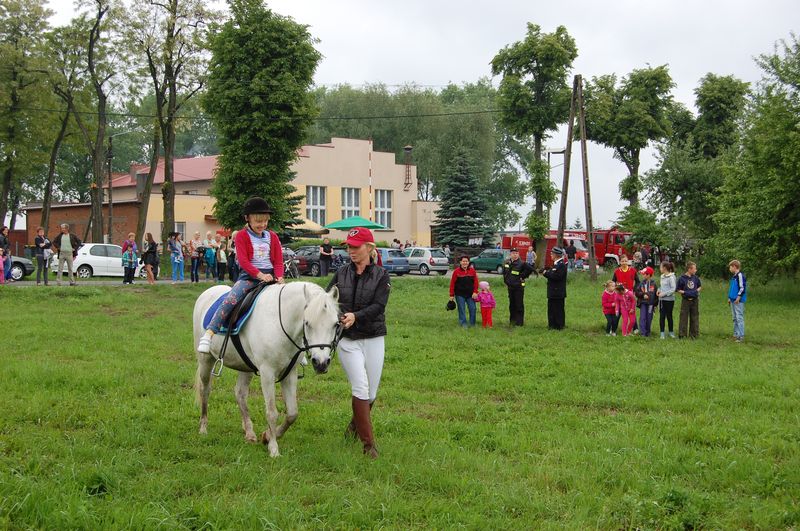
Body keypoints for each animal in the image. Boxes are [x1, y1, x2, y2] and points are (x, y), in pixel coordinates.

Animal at [197, 282, 344, 458]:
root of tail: (207, 293)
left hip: (245, 367)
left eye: (336, 324)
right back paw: (203, 428)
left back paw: (249, 432)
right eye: (307, 323)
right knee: (205, 390)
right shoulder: (267, 373)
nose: (321, 363)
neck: (280, 323)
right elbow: (272, 412)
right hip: (206, 360)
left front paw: (267, 436)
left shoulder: (290, 374)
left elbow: (292, 413)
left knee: (240, 393)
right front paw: (273, 448)